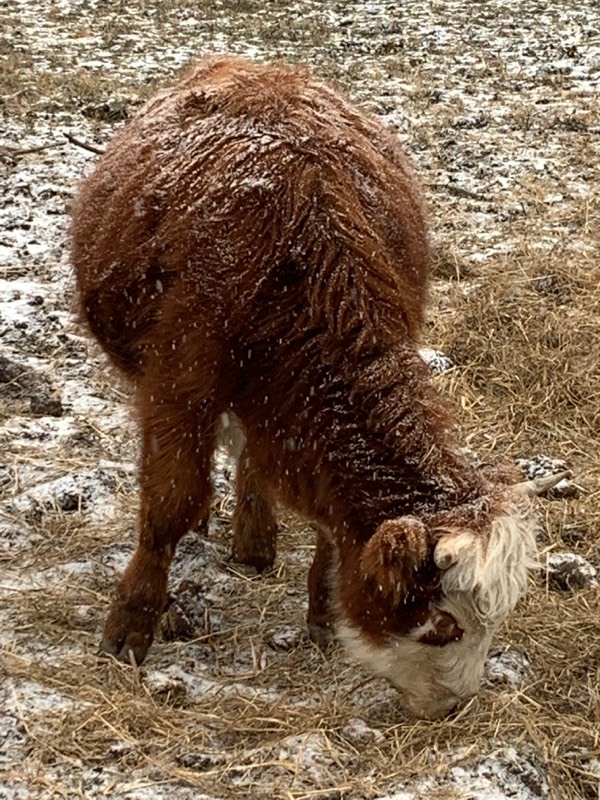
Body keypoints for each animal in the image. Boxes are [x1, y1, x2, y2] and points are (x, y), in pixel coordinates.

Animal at [71, 55, 564, 718]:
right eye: (443, 625)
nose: (454, 705)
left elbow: (326, 522)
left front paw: (324, 614)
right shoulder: (176, 387)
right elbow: (170, 503)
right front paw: (131, 623)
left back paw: (255, 541)